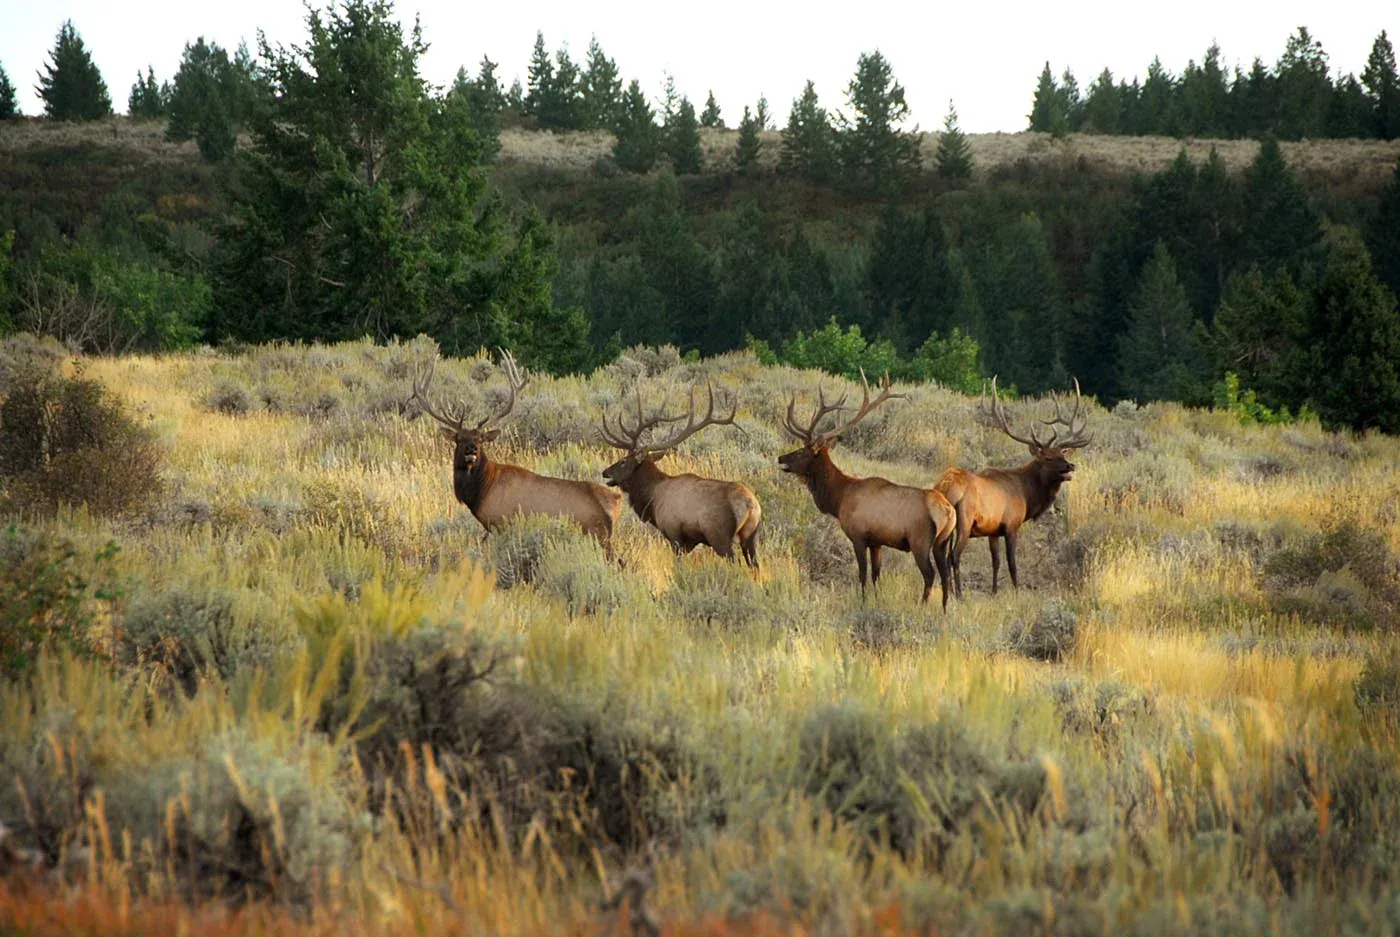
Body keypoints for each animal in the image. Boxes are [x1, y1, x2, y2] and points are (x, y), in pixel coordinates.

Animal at [410, 350, 623, 560]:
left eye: (480, 439)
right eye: (459, 439)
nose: (471, 450)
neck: (482, 490)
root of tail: (615, 502)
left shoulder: (502, 522)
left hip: (597, 535)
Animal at [598, 382, 763, 568]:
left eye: (623, 461)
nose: (605, 472)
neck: (653, 499)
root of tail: (750, 505)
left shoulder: (674, 533)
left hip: (719, 535)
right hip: (752, 537)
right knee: (756, 565)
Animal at [777, 372, 955, 609]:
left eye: (801, 452)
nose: (781, 457)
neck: (839, 499)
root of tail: (948, 511)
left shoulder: (858, 536)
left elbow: (862, 574)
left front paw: (862, 602)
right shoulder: (877, 542)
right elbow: (876, 575)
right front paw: (876, 600)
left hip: (921, 541)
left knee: (930, 575)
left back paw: (922, 607)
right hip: (942, 543)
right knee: (946, 576)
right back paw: (944, 609)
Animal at [935, 377, 1092, 596]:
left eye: (1062, 453)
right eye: (1048, 457)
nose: (1071, 466)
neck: (1027, 495)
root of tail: (946, 487)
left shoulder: (993, 530)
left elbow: (996, 562)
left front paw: (994, 591)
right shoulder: (1011, 524)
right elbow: (1012, 563)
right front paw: (1017, 591)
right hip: (964, 519)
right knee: (954, 556)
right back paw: (959, 594)